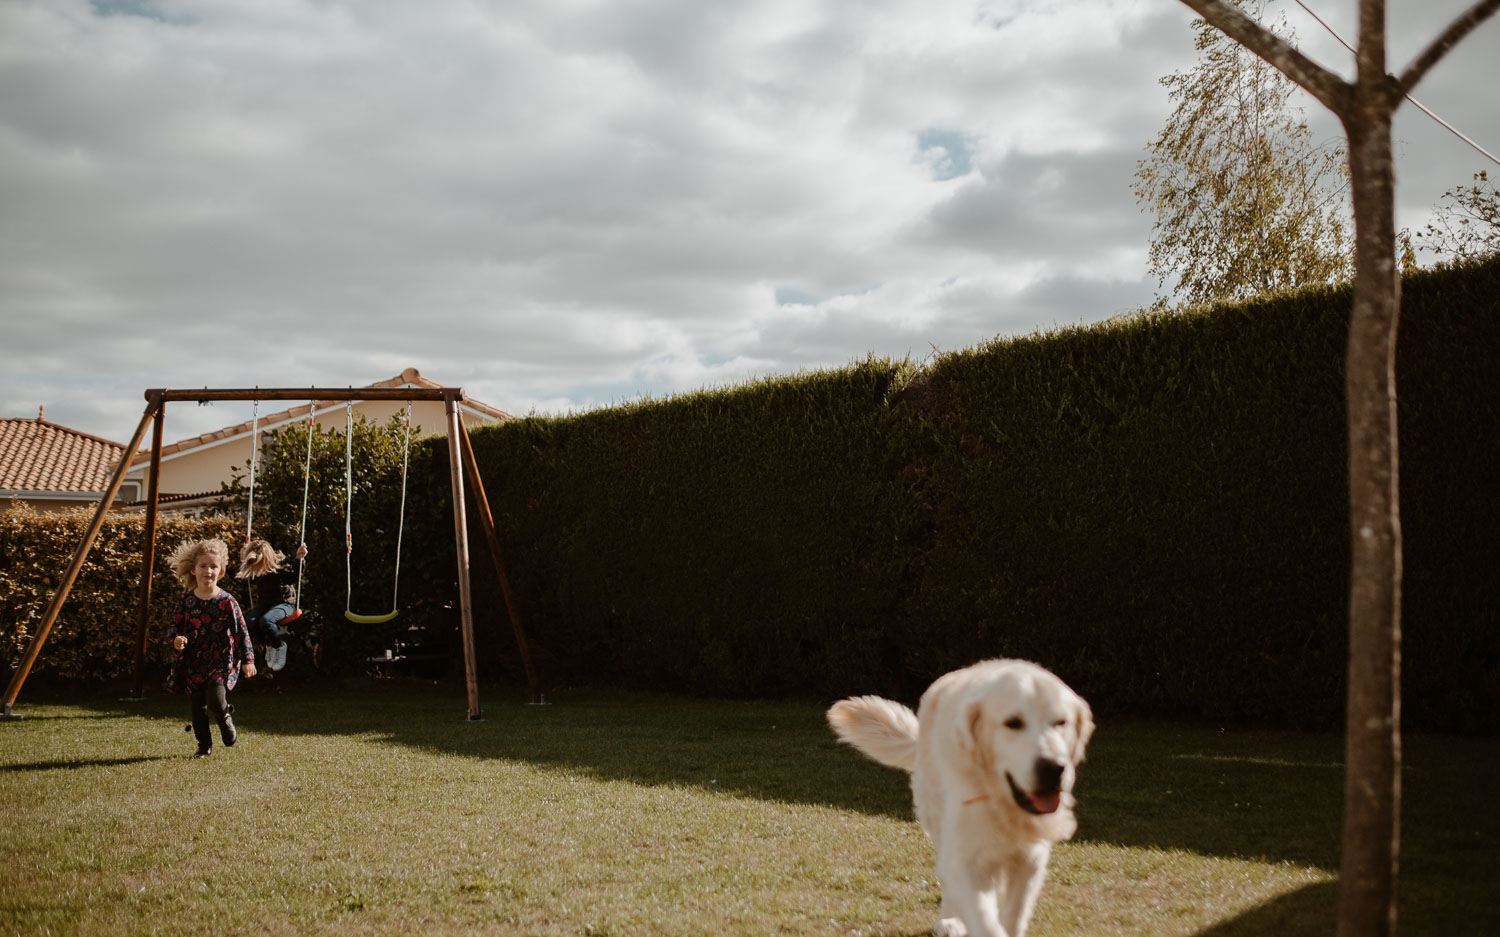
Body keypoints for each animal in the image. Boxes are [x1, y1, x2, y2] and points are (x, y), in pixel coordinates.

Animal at [828, 656, 1098, 935]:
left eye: (1060, 722)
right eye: (1013, 722)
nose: (1054, 768)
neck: (1003, 803)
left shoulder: (1031, 859)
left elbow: (1014, 914)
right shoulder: (965, 856)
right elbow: (984, 919)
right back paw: (949, 921)